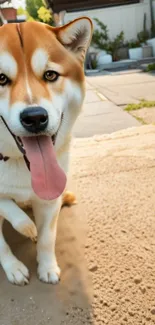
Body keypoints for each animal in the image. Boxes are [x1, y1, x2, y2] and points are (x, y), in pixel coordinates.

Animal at [0, 17, 92, 284]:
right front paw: (14, 264)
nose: (34, 117)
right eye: (1, 79)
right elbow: (5, 212)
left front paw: (47, 267)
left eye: (50, 75)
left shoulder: (49, 199)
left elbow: (47, 238)